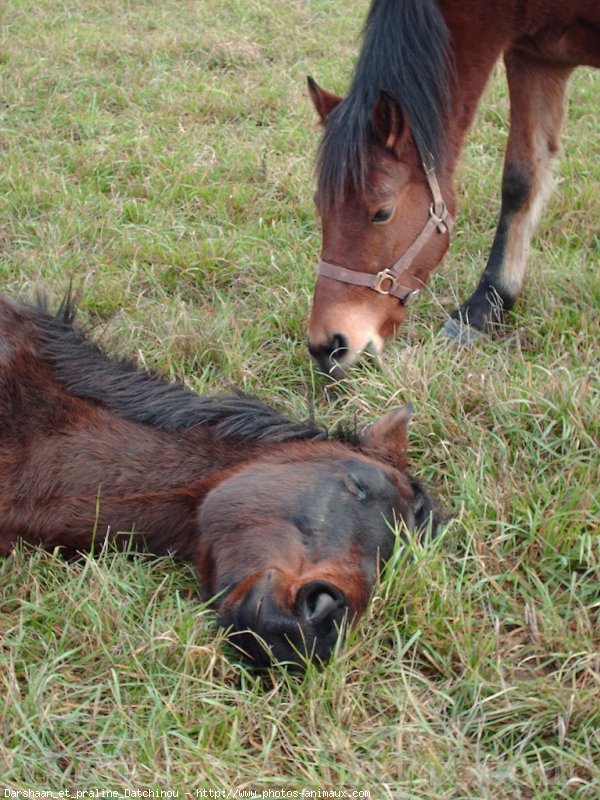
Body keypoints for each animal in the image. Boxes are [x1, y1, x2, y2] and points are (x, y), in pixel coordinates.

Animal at [308, 0, 596, 376]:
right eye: (320, 205)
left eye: (382, 212)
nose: (326, 346)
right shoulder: (535, 57)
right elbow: (521, 180)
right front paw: (487, 305)